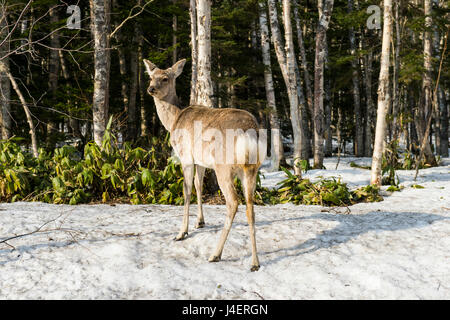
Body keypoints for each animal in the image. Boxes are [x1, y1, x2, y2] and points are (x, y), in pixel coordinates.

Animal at [143, 58, 264, 272]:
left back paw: (215, 254)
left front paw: (181, 233)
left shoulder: (186, 156)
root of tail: (250, 132)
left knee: (233, 202)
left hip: (224, 166)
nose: (151, 89)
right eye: (151, 76)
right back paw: (255, 262)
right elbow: (199, 186)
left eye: (165, 78)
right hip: (251, 169)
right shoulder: (201, 161)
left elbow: (186, 190)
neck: (173, 121)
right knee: (250, 206)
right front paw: (200, 222)